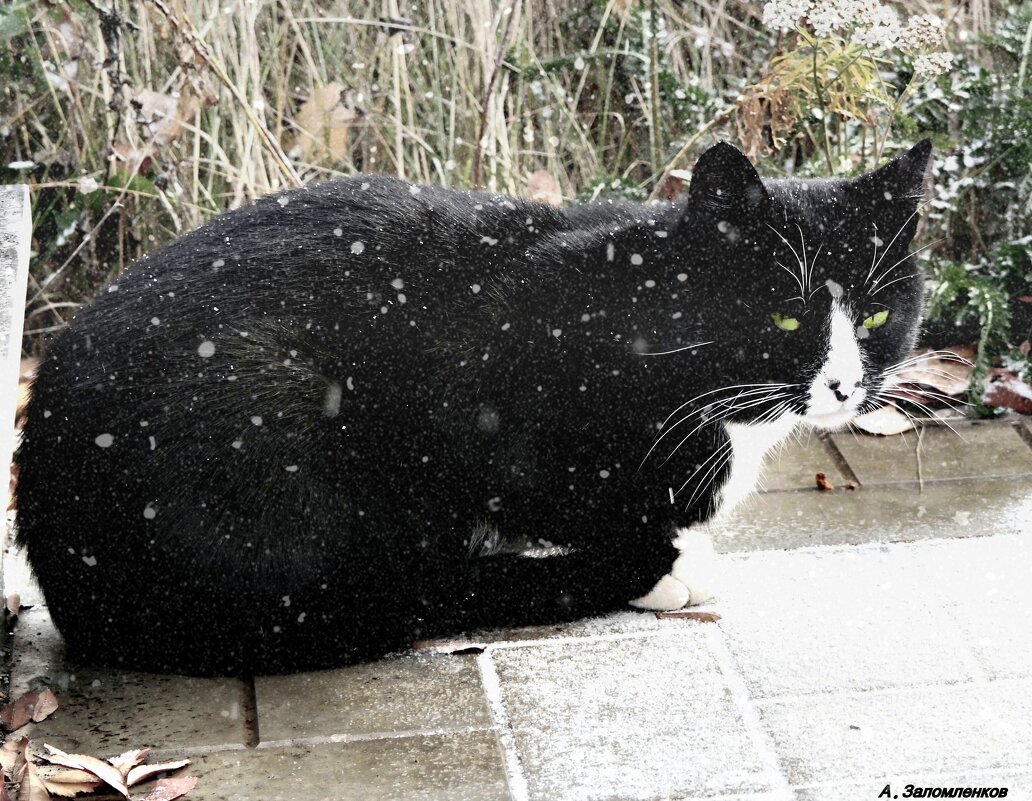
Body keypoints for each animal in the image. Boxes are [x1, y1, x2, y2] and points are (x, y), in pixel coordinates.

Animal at [14, 139, 937, 677]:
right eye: (783, 317)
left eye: (877, 315)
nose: (847, 385)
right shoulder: (494, 395)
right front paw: (660, 563)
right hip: (274, 401)